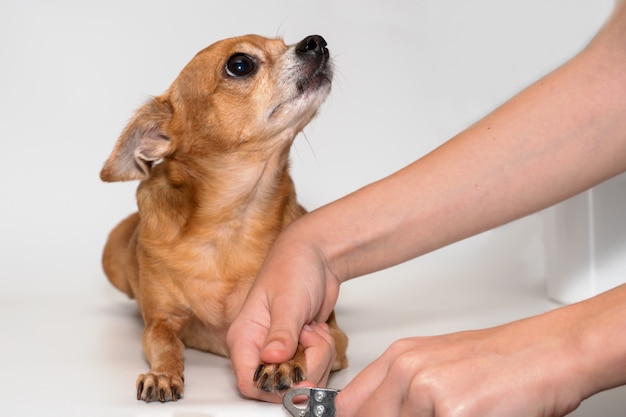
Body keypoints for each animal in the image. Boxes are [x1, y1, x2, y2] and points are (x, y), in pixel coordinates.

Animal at [100, 34, 348, 402]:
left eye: (283, 43)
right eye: (240, 64)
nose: (315, 41)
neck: (231, 221)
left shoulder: (335, 335)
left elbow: (306, 337)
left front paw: (284, 360)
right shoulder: (161, 322)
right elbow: (165, 343)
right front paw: (163, 374)